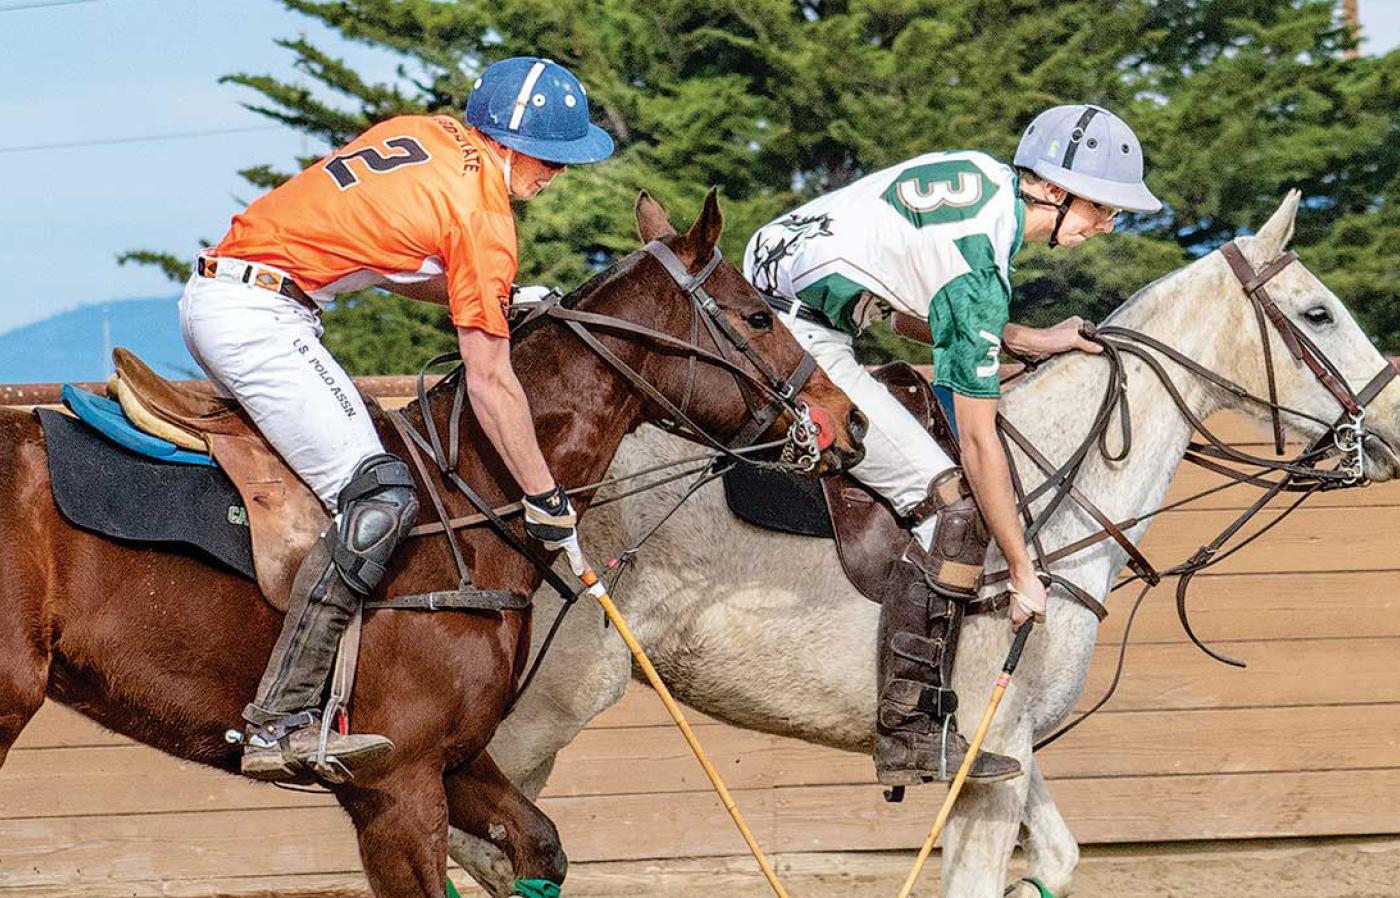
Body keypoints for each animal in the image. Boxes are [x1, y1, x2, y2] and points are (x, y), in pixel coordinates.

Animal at [0, 190, 862, 896]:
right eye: (758, 316)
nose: (845, 422)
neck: (471, 497)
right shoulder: (394, 779)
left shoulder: (454, 756)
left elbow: (539, 849)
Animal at [448, 193, 1400, 890]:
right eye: (1317, 313)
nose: (1393, 419)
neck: (1061, 495)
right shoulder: (989, 754)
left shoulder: (1003, 748)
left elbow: (1058, 859)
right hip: (543, 705)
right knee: (483, 839)